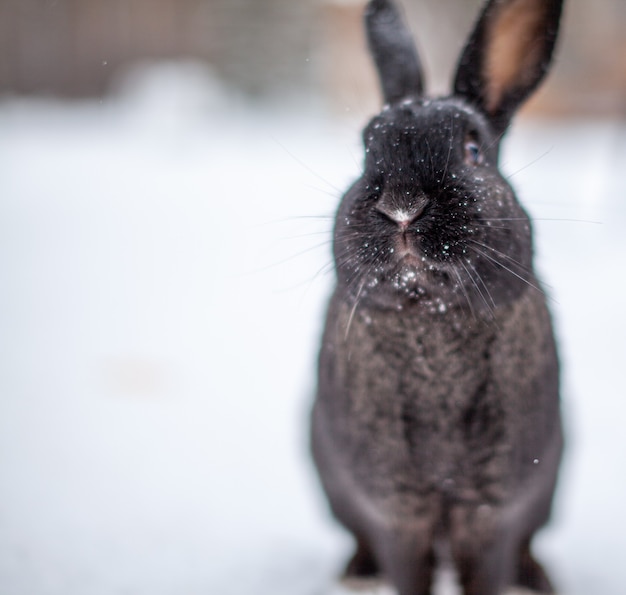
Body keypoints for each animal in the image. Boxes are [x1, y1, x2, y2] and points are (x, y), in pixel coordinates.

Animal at [310, 1, 564, 595]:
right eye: (365, 148)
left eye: (473, 151)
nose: (402, 205)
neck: (430, 318)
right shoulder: (398, 512)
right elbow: (408, 570)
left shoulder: (490, 511)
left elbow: (487, 570)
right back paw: (356, 572)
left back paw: (539, 578)